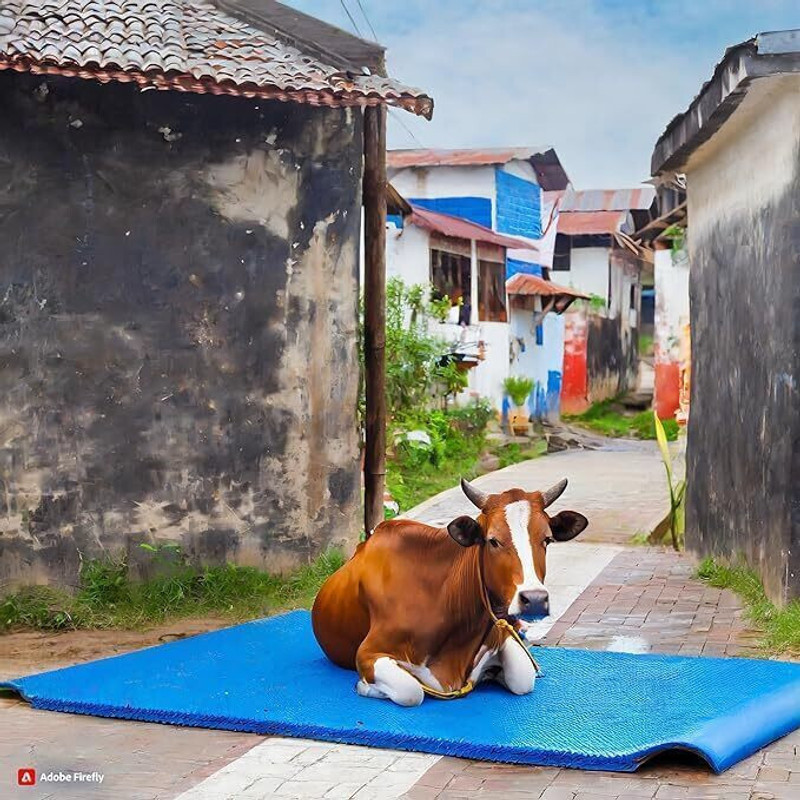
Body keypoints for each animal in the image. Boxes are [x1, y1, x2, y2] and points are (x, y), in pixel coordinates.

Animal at [311, 477, 588, 706]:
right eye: (493, 540)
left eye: (547, 539)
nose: (535, 599)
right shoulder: (368, 652)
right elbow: (412, 691)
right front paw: (367, 687)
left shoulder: (500, 632)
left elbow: (522, 677)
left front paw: (493, 672)